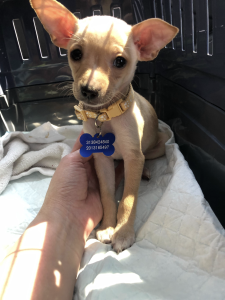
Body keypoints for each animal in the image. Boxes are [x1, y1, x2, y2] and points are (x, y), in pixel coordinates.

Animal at [30, 0, 178, 253]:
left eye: (120, 61)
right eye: (75, 54)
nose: (89, 90)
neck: (106, 116)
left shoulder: (133, 156)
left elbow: (128, 199)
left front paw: (124, 233)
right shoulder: (102, 160)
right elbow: (108, 195)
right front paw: (108, 226)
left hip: (155, 148)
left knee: (147, 159)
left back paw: (146, 171)